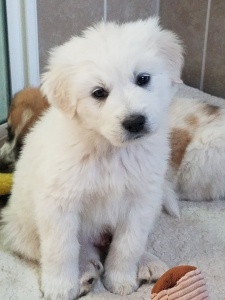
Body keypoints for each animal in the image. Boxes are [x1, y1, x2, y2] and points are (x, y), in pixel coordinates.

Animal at [0, 19, 183, 300]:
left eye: (143, 79)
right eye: (99, 93)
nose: (135, 122)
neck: (110, 150)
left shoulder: (140, 201)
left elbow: (128, 244)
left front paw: (120, 280)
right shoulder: (60, 205)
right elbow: (62, 250)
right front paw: (60, 288)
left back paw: (148, 263)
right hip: (23, 228)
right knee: (77, 247)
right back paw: (85, 272)